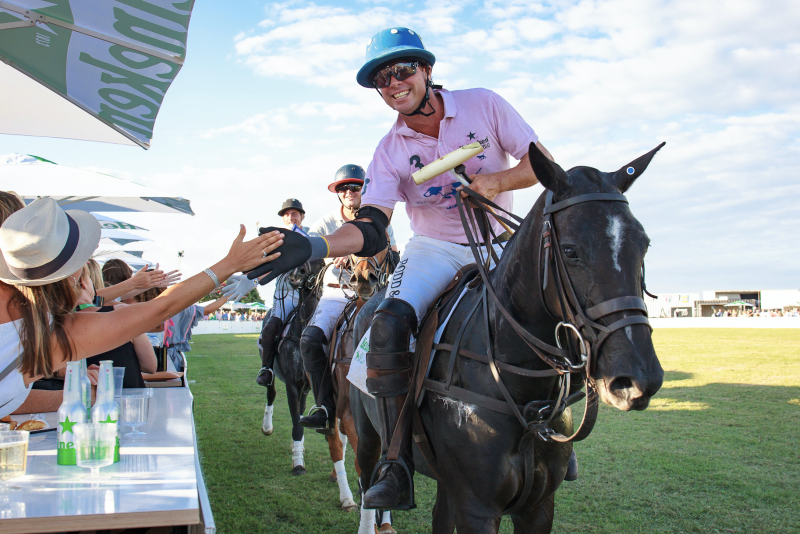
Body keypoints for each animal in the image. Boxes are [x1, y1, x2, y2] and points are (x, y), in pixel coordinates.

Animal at [354, 144, 664, 532]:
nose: (638, 379)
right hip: (366, 432)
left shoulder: (538, 505)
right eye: (570, 251)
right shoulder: (477, 506)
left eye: (645, 245)